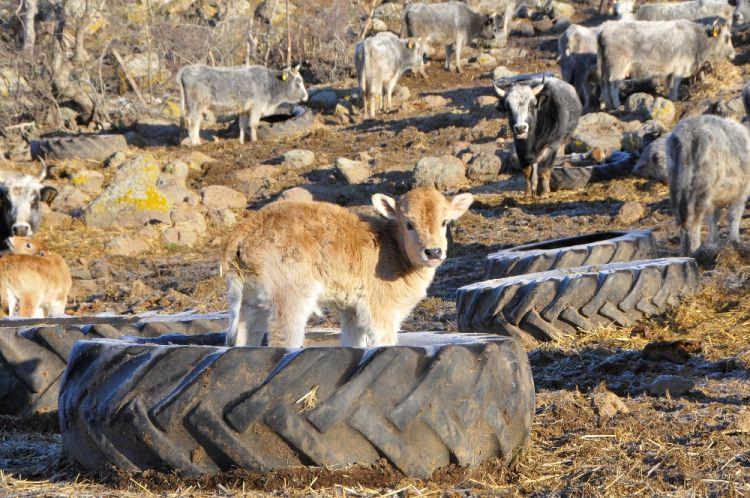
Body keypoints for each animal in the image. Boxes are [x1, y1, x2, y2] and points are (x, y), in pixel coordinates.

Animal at [178, 64, 310, 146]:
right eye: (299, 81)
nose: (306, 96)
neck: (269, 84)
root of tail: (185, 70)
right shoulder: (256, 107)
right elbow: (254, 124)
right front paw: (254, 140)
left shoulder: (245, 110)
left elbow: (242, 125)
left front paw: (241, 141)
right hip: (195, 106)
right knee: (193, 123)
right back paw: (195, 143)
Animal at [220, 186, 476, 346]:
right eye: (409, 223)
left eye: (445, 222)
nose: (433, 251)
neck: (393, 249)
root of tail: (248, 226)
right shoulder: (380, 310)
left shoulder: (353, 311)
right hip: (291, 297)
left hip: (252, 301)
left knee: (244, 339)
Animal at [668, 115, 750, 255]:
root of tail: (691, 132)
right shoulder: (741, 193)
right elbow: (734, 215)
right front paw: (734, 241)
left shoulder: (715, 200)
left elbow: (713, 219)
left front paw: (714, 244)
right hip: (703, 184)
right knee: (694, 219)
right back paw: (695, 250)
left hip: (676, 183)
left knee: (681, 218)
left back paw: (684, 251)